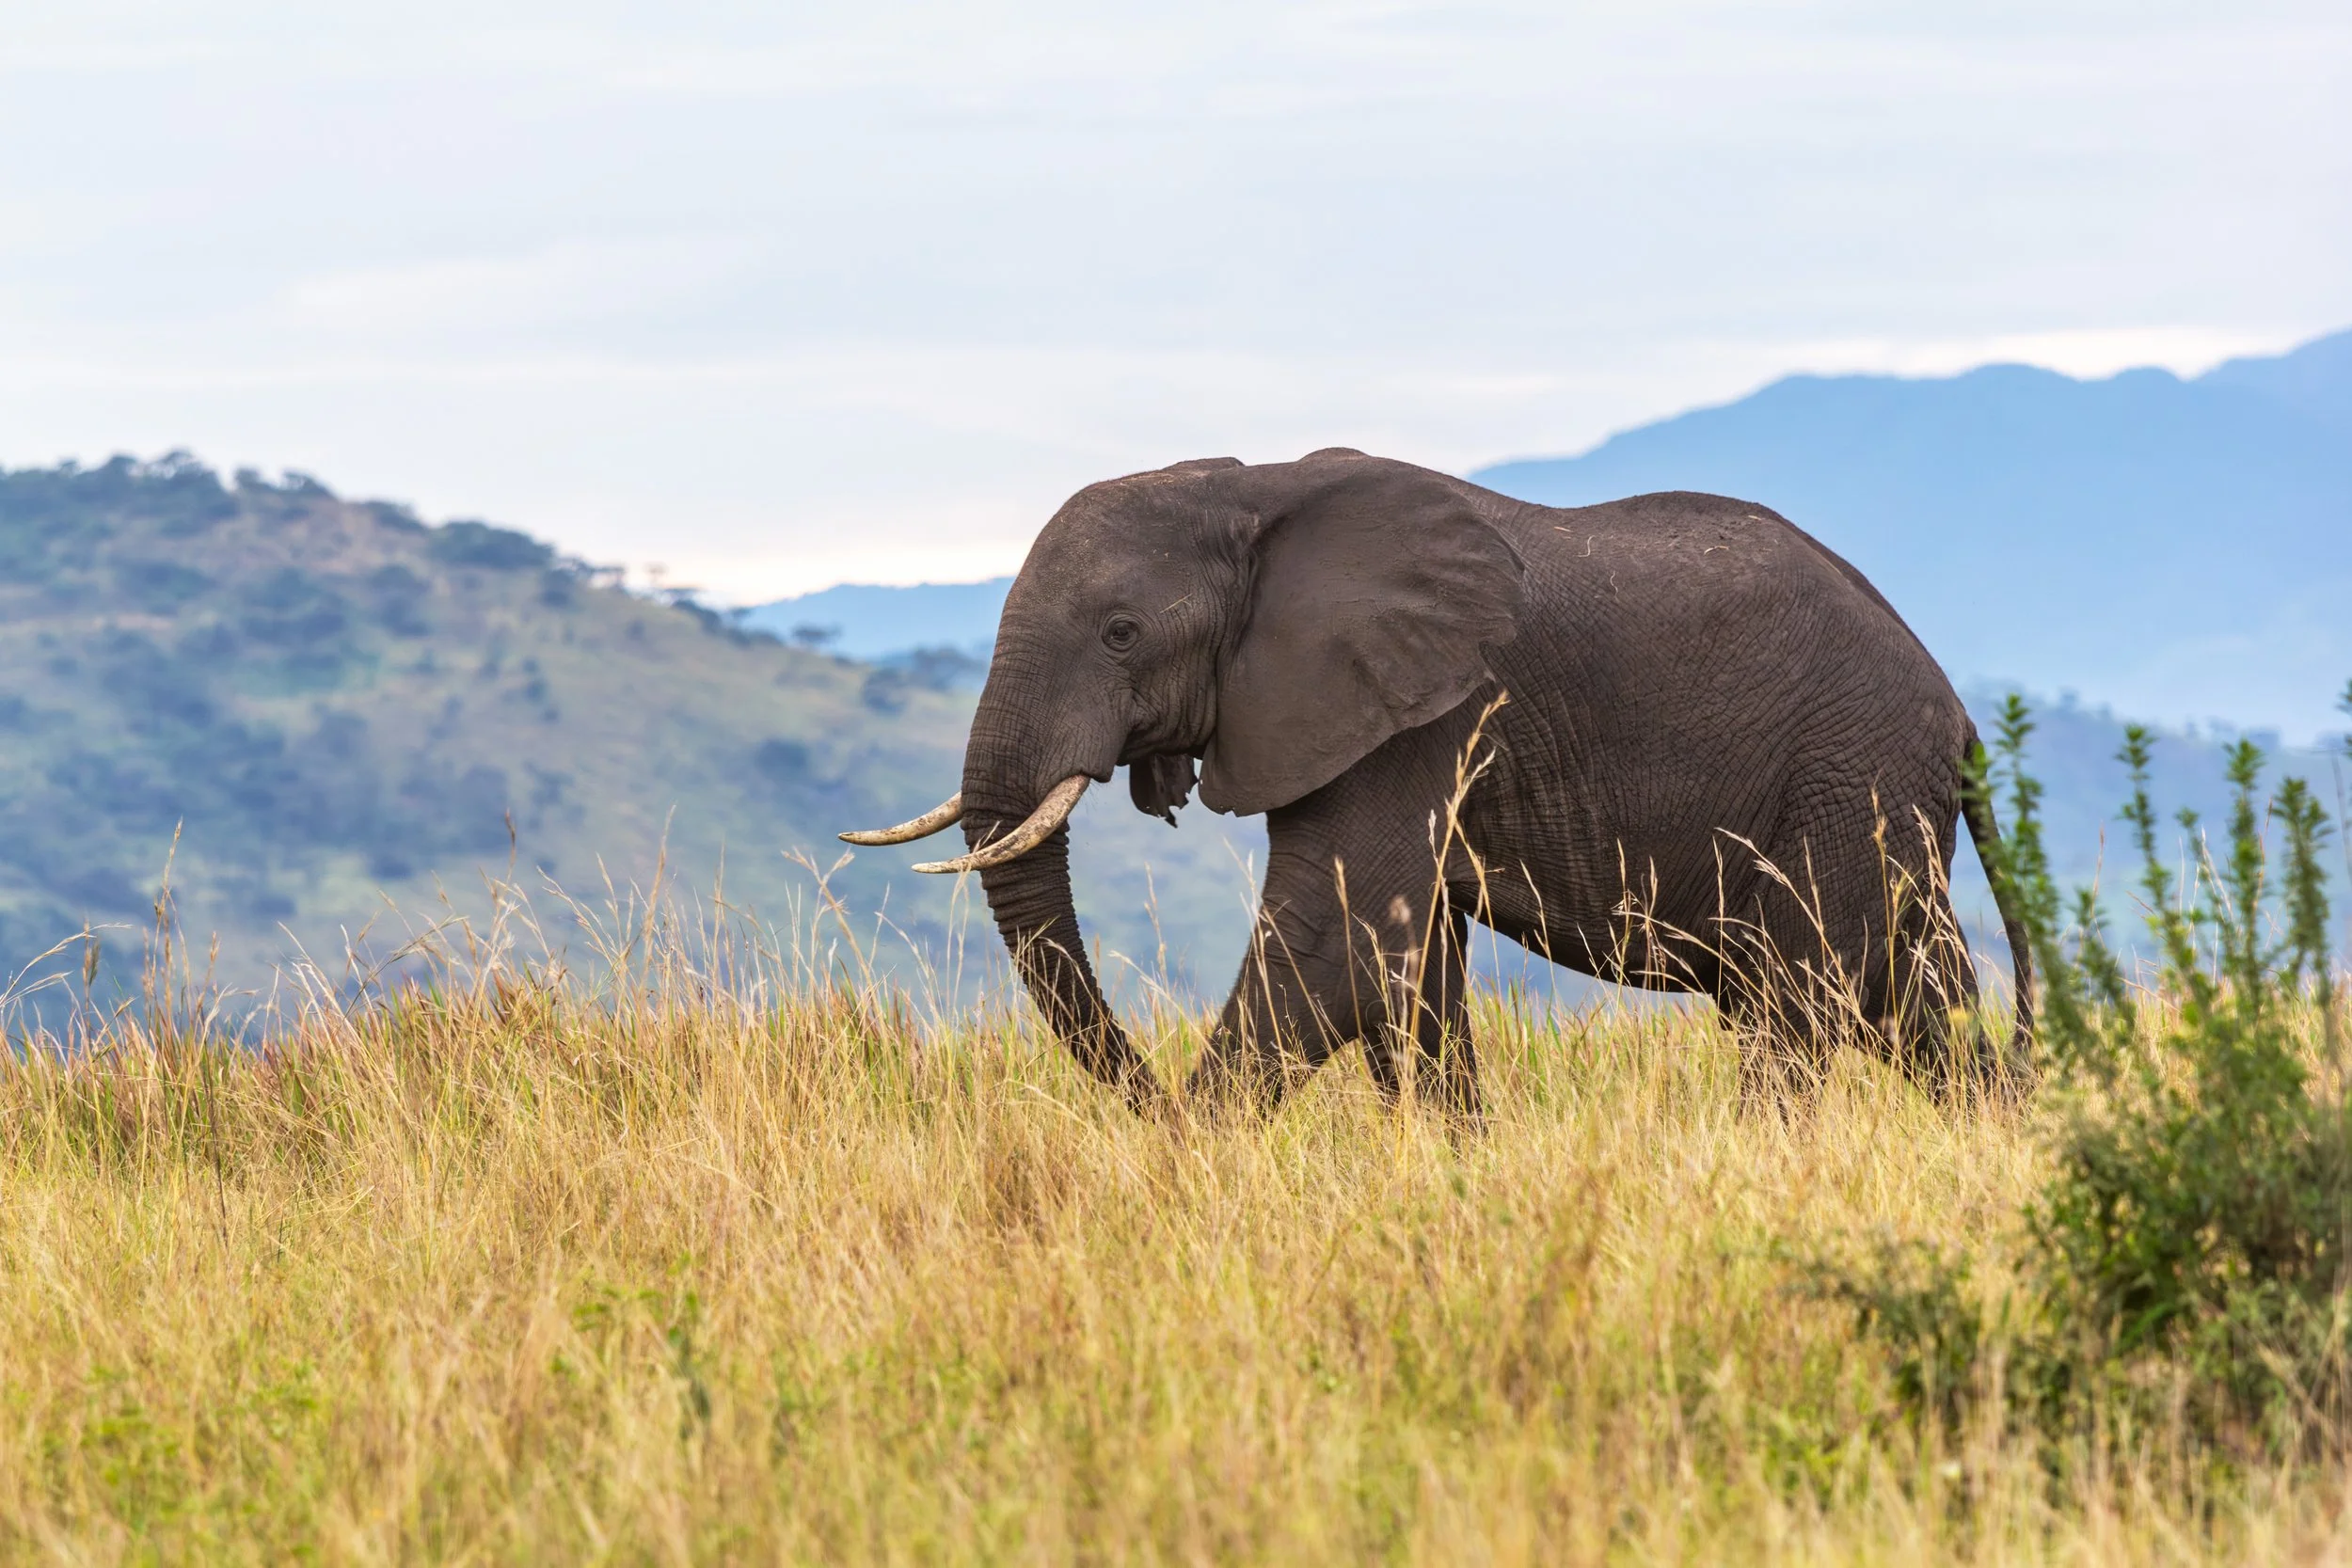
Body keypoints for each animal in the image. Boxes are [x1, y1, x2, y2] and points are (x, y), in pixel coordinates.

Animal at [843, 449, 2032, 1117]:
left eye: (1121, 632)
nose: (1141, 1094)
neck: (1250, 491)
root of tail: (1961, 717)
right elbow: (1408, 967)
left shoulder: (1420, 711)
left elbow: (1337, 936)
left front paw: (1181, 1159)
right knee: (1909, 1006)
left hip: (1846, 777)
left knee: (1797, 1003)